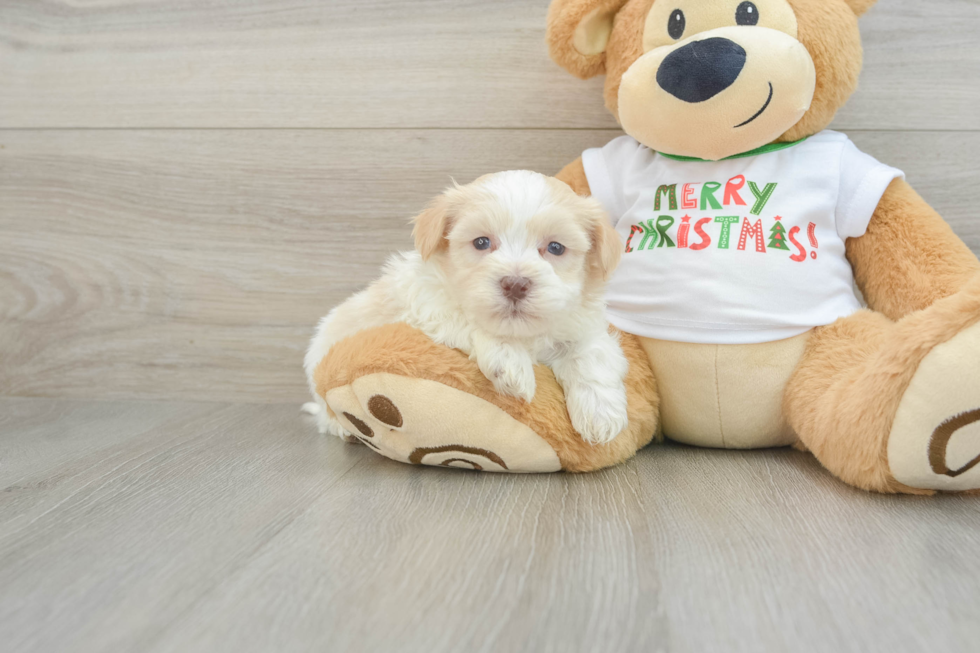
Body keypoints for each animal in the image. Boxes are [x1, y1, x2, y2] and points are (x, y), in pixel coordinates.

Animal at [302, 168, 632, 446]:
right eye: (482, 242)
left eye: (555, 248)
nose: (515, 283)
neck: (523, 333)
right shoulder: (427, 305)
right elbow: (468, 320)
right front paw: (511, 364)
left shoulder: (582, 325)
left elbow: (591, 355)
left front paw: (601, 415)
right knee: (324, 411)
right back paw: (342, 427)